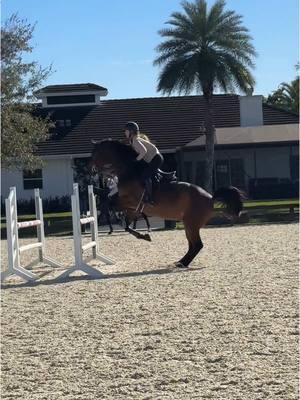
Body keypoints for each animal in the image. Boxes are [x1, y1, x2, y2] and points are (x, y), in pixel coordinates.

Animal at [90, 139, 245, 268]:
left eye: (95, 154)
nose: (90, 170)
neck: (129, 170)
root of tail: (210, 197)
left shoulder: (131, 201)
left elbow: (113, 204)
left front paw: (141, 233)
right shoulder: (132, 207)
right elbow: (126, 224)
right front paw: (144, 236)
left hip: (192, 224)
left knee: (197, 245)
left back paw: (182, 263)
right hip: (189, 224)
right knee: (193, 245)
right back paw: (181, 261)